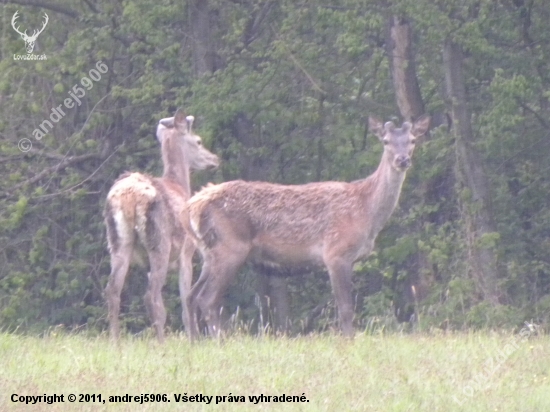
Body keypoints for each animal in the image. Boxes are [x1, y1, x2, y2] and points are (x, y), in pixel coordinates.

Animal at [105, 108, 220, 342]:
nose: (215, 158)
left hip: (118, 241)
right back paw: (161, 342)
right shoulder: (187, 253)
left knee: (113, 290)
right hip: (160, 242)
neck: (179, 185)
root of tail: (129, 197)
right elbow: (186, 300)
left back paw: (115, 342)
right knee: (152, 295)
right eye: (198, 141)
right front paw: (194, 339)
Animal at [185, 113, 432, 338]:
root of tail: (194, 205)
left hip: (208, 251)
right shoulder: (336, 253)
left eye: (412, 140)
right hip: (231, 246)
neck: (366, 211)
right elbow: (345, 309)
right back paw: (219, 340)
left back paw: (195, 341)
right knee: (207, 298)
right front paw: (349, 342)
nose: (402, 160)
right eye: (386, 141)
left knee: (191, 295)